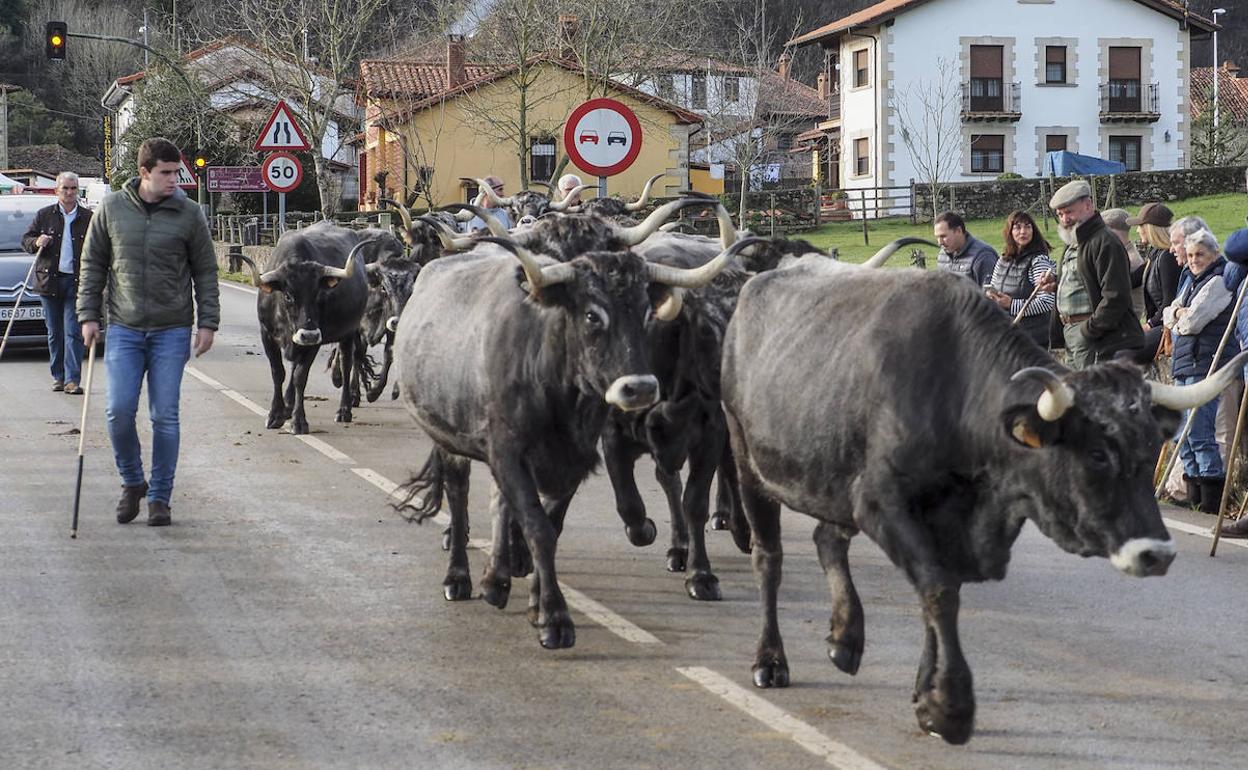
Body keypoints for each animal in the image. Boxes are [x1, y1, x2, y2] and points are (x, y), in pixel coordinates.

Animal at [239, 224, 371, 434]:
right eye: (288, 296)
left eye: (320, 294)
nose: (308, 335)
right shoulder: (266, 334)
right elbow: (278, 373)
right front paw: (276, 414)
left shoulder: (315, 339)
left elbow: (300, 377)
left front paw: (298, 421)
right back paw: (287, 405)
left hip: (348, 333)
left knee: (346, 365)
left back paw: (344, 410)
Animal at [391, 209, 738, 648]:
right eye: (591, 314)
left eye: (647, 312)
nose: (639, 387)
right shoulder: (515, 452)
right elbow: (538, 525)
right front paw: (554, 618)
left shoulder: (577, 458)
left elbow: (551, 524)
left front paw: (534, 596)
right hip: (448, 439)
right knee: (458, 491)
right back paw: (460, 575)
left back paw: (497, 577)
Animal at [718, 259, 1243, 743]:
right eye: (1097, 452)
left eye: (1152, 447)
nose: (1157, 553)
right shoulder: (881, 503)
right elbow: (938, 593)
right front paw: (950, 707)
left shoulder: (941, 523)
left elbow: (936, 597)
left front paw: (926, 694)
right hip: (746, 457)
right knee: (769, 558)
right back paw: (770, 660)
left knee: (827, 538)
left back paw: (845, 640)